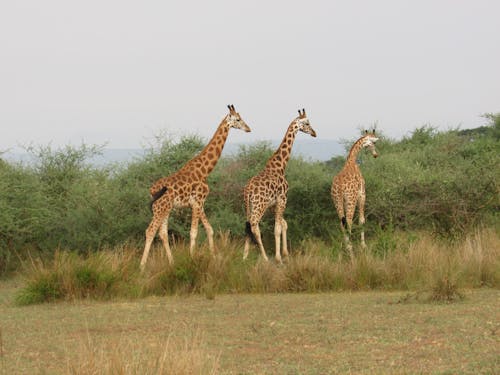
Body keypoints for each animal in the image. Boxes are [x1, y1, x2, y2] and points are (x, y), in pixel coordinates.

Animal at [140, 105, 250, 270]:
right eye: (238, 119)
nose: (248, 128)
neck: (204, 171)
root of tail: (151, 191)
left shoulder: (199, 203)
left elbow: (209, 229)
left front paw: (213, 256)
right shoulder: (198, 201)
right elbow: (194, 232)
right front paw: (192, 259)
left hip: (165, 209)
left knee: (162, 233)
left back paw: (171, 263)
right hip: (160, 208)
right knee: (150, 231)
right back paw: (141, 267)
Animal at [243, 107, 316, 262]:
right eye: (307, 123)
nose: (314, 133)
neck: (280, 165)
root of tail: (248, 191)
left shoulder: (273, 204)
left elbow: (283, 224)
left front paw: (285, 254)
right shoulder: (283, 199)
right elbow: (277, 228)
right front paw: (278, 258)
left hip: (249, 206)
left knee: (248, 225)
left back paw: (244, 256)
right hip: (259, 205)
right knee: (254, 225)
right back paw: (265, 257)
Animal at [332, 130, 378, 258]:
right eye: (373, 142)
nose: (375, 155)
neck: (352, 160)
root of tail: (340, 188)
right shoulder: (362, 194)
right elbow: (362, 220)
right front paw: (363, 246)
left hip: (337, 201)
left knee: (342, 223)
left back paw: (343, 249)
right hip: (350, 200)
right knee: (348, 222)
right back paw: (350, 250)